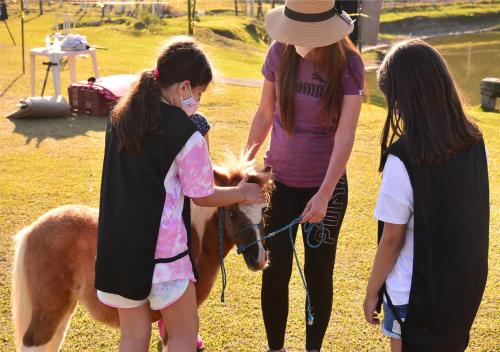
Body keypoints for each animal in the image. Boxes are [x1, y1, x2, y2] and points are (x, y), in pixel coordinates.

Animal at [10, 155, 274, 350]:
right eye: (232, 212)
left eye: (264, 210)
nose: (259, 259)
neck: (193, 239)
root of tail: (33, 229)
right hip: (49, 308)